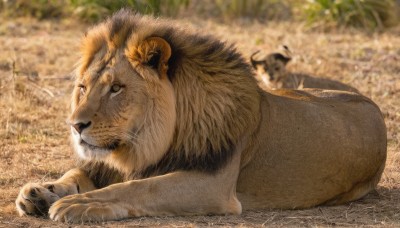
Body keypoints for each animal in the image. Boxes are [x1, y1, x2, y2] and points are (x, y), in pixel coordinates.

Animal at [16, 10, 388, 223]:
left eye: (116, 88)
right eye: (82, 87)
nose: (75, 126)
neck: (143, 145)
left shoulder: (213, 184)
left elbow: (140, 188)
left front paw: (78, 204)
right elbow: (76, 172)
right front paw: (39, 193)